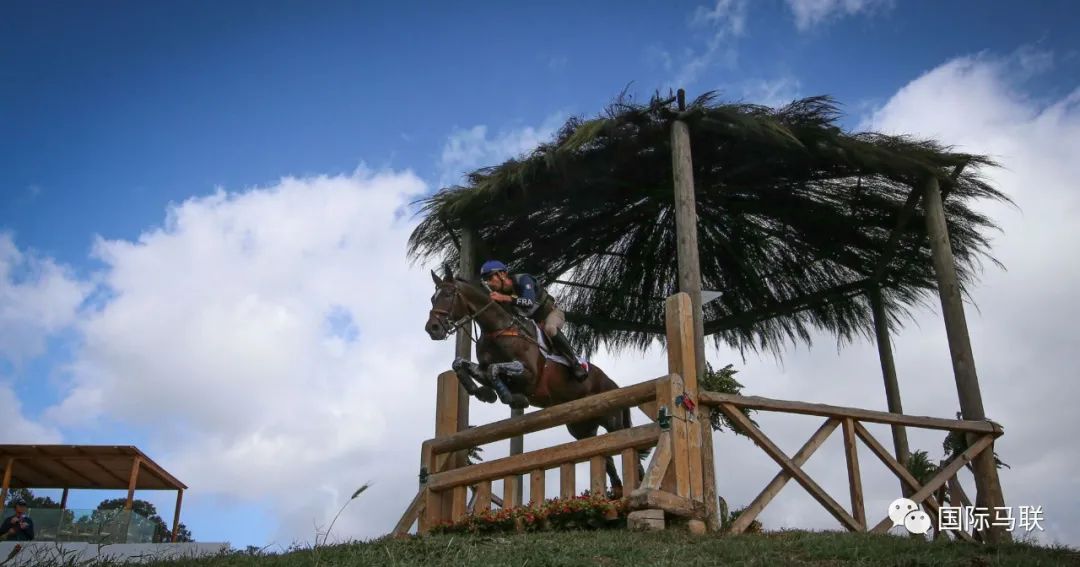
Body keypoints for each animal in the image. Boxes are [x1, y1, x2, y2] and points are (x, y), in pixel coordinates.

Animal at [421, 267, 643, 492]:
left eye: (448, 294)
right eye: (432, 298)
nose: (432, 328)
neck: (497, 328)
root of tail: (613, 384)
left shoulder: (530, 375)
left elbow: (494, 369)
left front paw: (513, 398)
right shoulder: (483, 369)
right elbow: (460, 364)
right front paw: (485, 393)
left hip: (611, 418)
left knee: (626, 444)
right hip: (582, 428)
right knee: (606, 456)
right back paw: (617, 490)